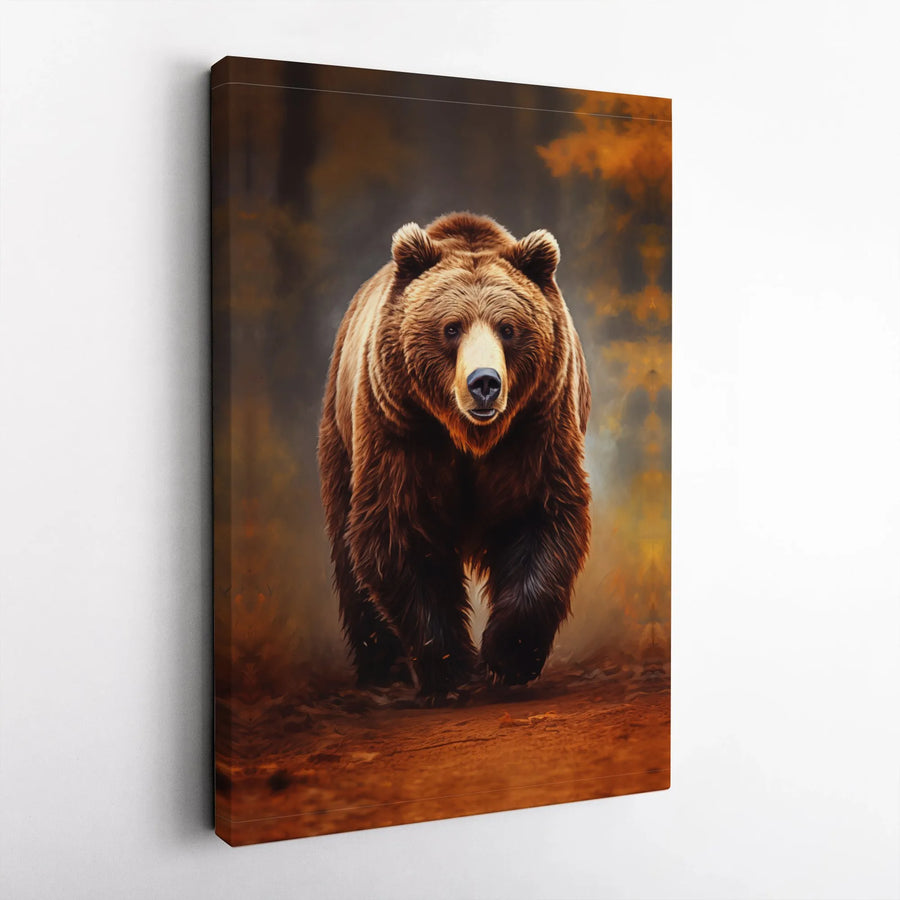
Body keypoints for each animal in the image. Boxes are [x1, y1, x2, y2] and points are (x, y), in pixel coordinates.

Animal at [317, 211, 591, 698]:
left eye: (508, 328)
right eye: (451, 327)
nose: (484, 382)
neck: (469, 437)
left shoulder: (538, 425)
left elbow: (542, 516)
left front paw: (507, 657)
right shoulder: (402, 428)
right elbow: (399, 531)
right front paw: (451, 668)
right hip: (341, 433)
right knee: (349, 554)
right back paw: (379, 668)